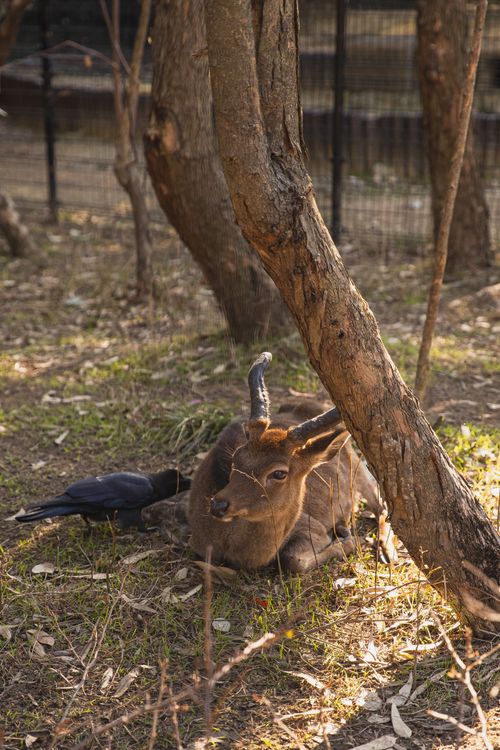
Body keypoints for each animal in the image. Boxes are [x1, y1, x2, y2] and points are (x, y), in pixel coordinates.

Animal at [187, 352, 395, 573]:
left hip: (357, 462)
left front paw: (349, 540)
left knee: (379, 502)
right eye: (236, 457)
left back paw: (386, 551)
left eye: (279, 473)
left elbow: (292, 560)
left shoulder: (312, 528)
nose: (218, 505)